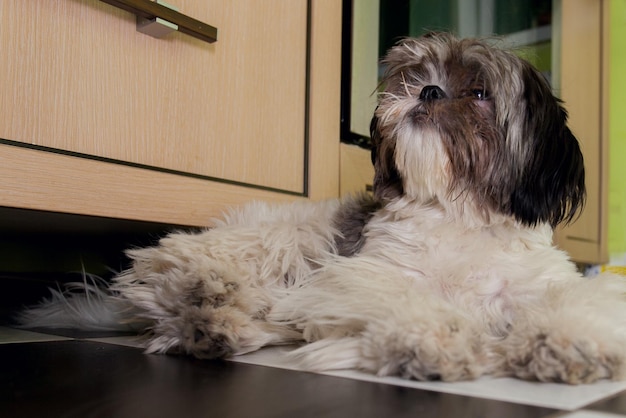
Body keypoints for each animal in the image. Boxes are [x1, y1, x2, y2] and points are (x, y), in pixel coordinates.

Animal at [19, 33, 624, 386]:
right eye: (413, 75)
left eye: (479, 93)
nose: (425, 91)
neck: (455, 214)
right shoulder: (362, 275)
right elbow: (411, 302)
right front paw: (435, 340)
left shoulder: (537, 285)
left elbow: (573, 303)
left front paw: (570, 341)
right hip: (283, 242)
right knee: (172, 273)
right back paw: (206, 297)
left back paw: (216, 327)